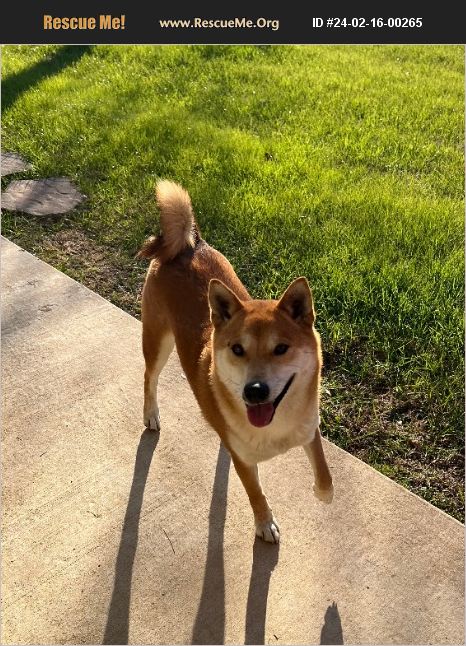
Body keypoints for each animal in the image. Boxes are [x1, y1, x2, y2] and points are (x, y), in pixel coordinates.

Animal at [137, 180, 334, 544]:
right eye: (238, 349)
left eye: (281, 348)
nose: (254, 391)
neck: (276, 429)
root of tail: (188, 246)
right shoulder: (244, 461)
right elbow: (256, 493)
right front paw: (264, 523)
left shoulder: (308, 425)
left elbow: (324, 470)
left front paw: (323, 492)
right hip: (157, 342)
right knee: (149, 378)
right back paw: (151, 413)